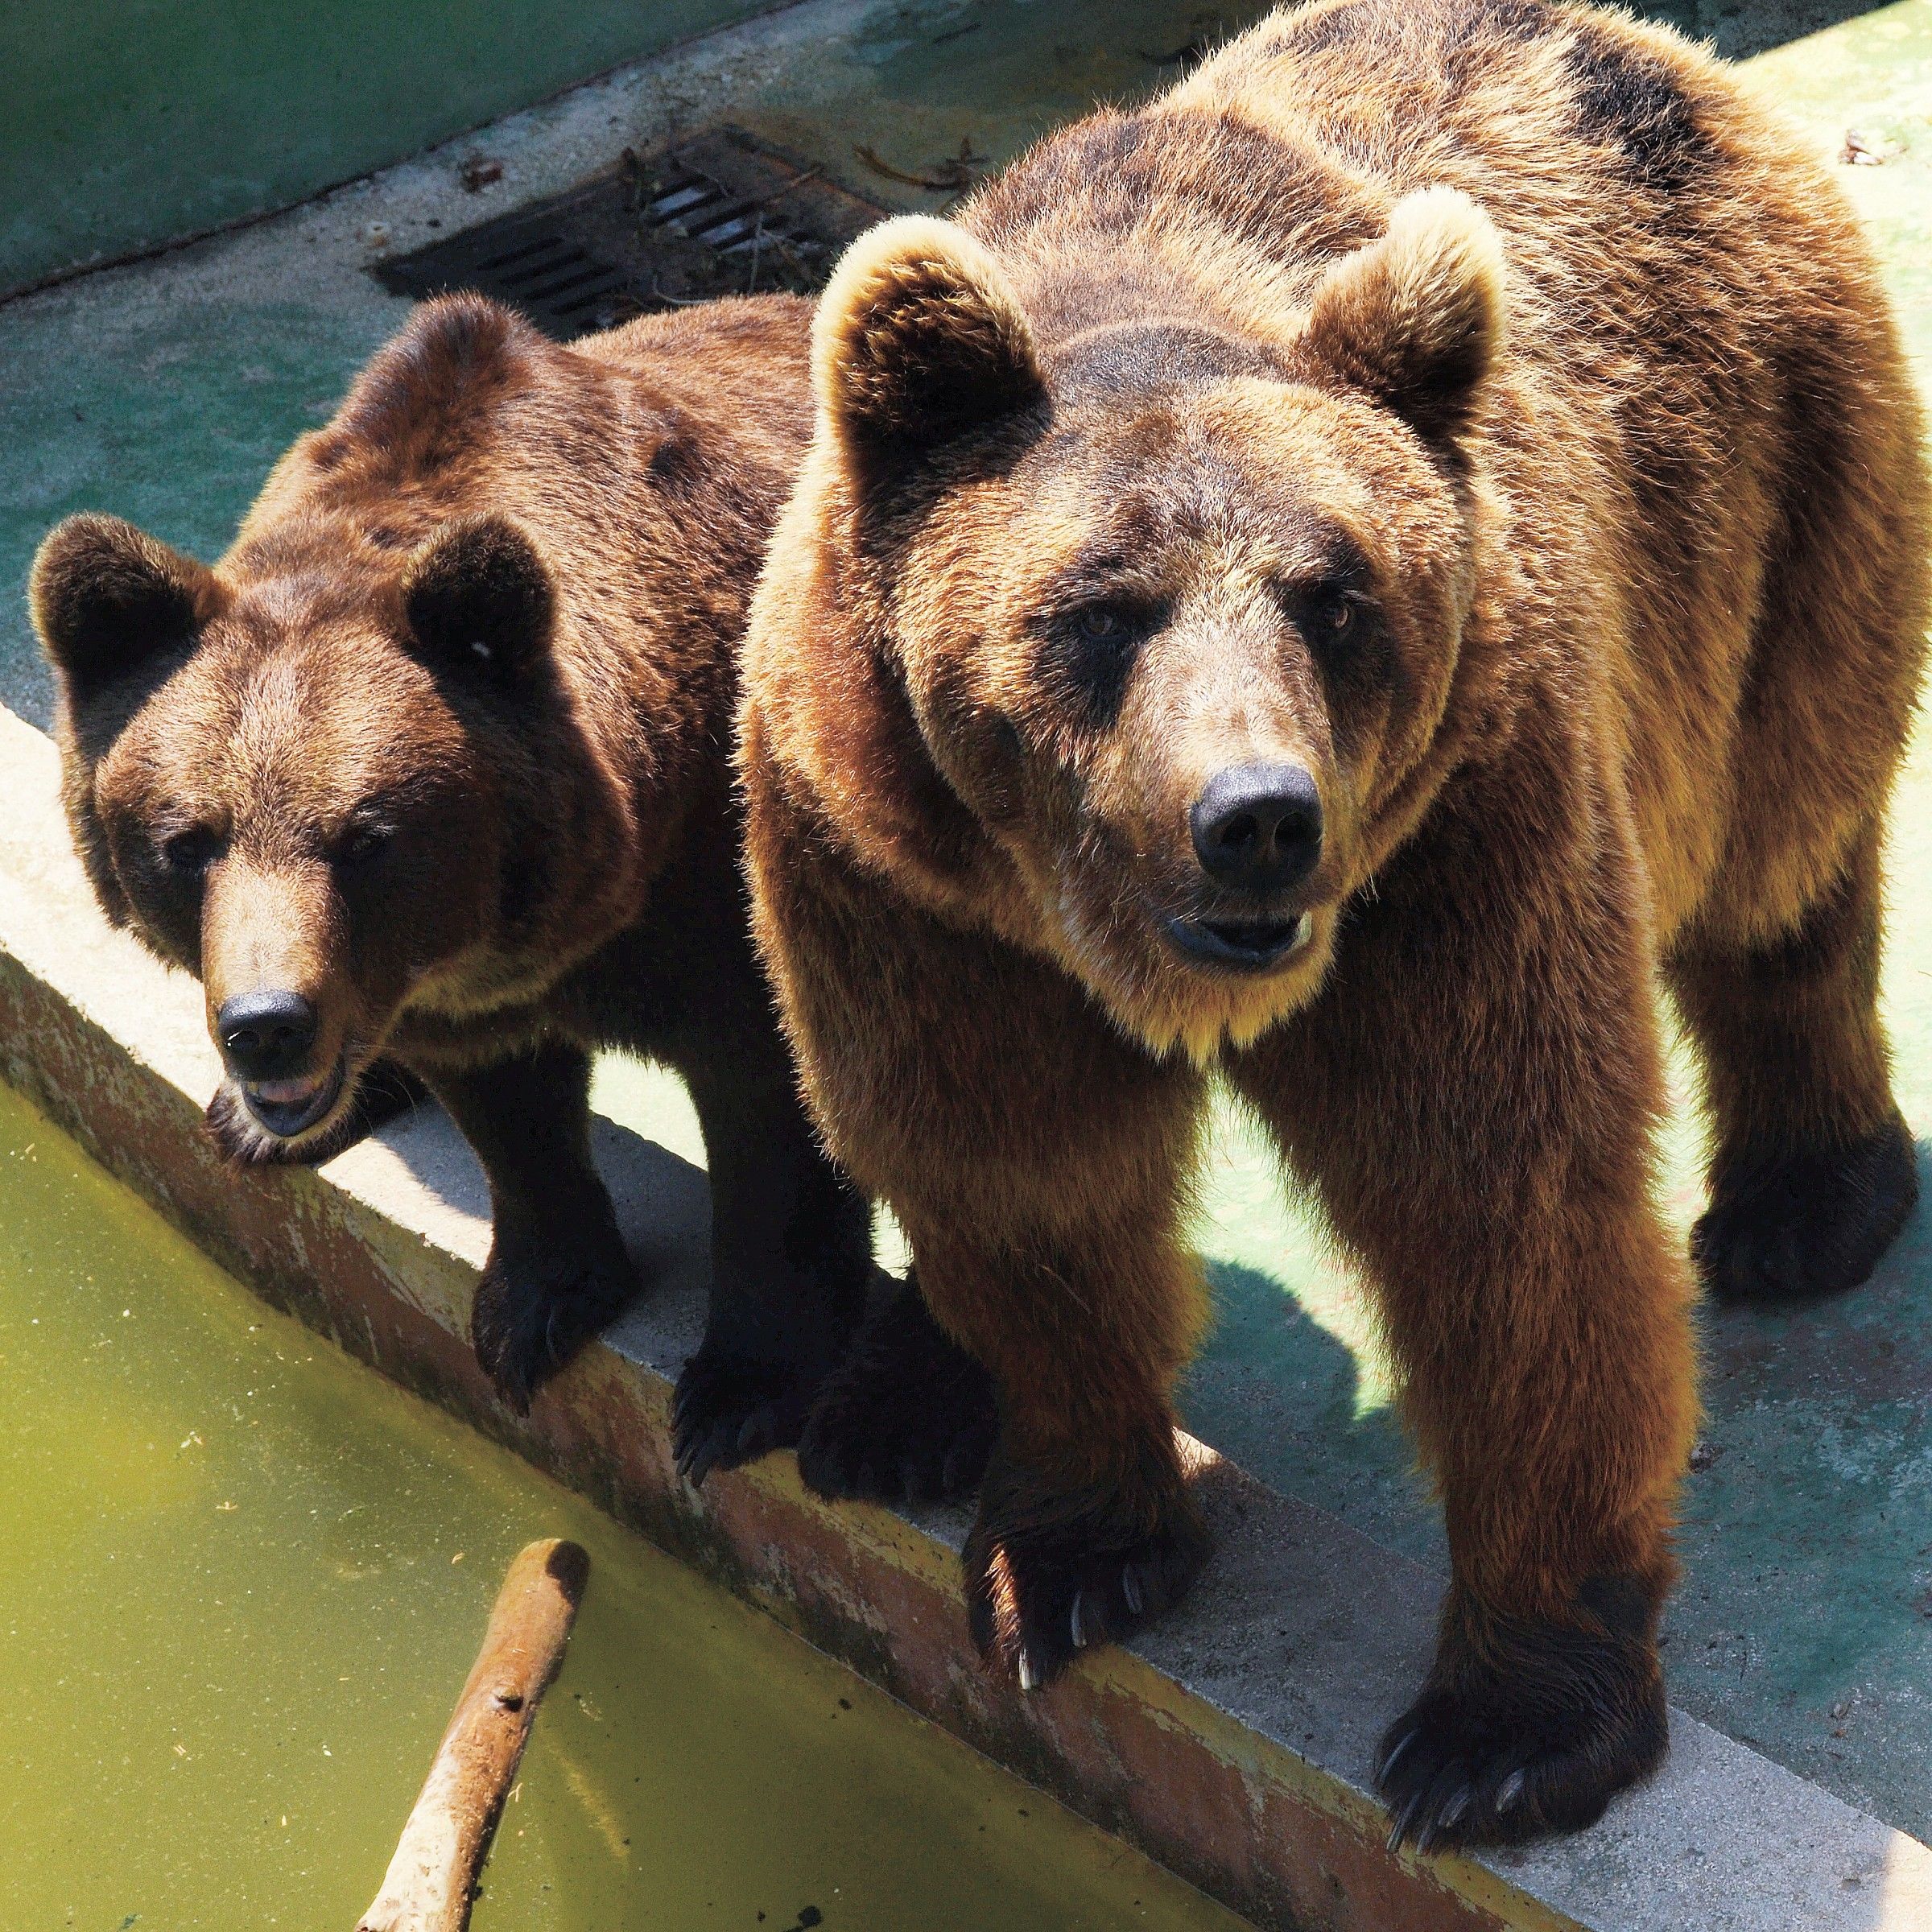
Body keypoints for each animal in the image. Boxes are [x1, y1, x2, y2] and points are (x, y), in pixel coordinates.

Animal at [30, 289, 991, 1491]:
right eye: (187, 842)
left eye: (367, 838)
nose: (266, 1026)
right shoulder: (459, 981)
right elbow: (508, 1117)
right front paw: (531, 1307)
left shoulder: (729, 890)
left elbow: (776, 1113)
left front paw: (736, 1395)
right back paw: (264, 1125)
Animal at [738, 0, 1928, 1850]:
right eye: (1101, 610)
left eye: (1335, 593)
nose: (1257, 819)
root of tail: (1664, 53)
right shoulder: (902, 882)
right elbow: (1013, 1170)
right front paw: (1068, 1553)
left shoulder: (1461, 834)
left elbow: (1496, 1212)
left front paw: (1502, 1728)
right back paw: (895, 1399)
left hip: (1778, 487)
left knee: (1781, 860)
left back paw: (1804, 1206)